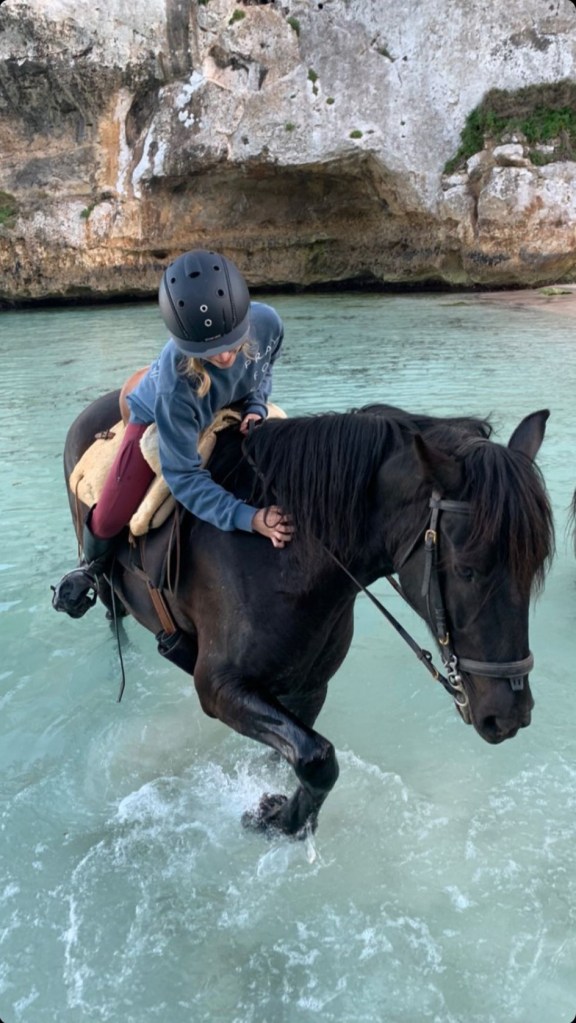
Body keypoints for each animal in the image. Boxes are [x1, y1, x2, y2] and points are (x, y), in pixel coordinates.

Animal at [63, 395, 553, 837]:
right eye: (467, 569)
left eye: (533, 565)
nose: (510, 715)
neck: (280, 559)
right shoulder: (218, 686)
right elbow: (318, 759)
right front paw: (280, 820)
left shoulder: (309, 684)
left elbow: (295, 756)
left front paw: (281, 807)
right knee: (110, 606)